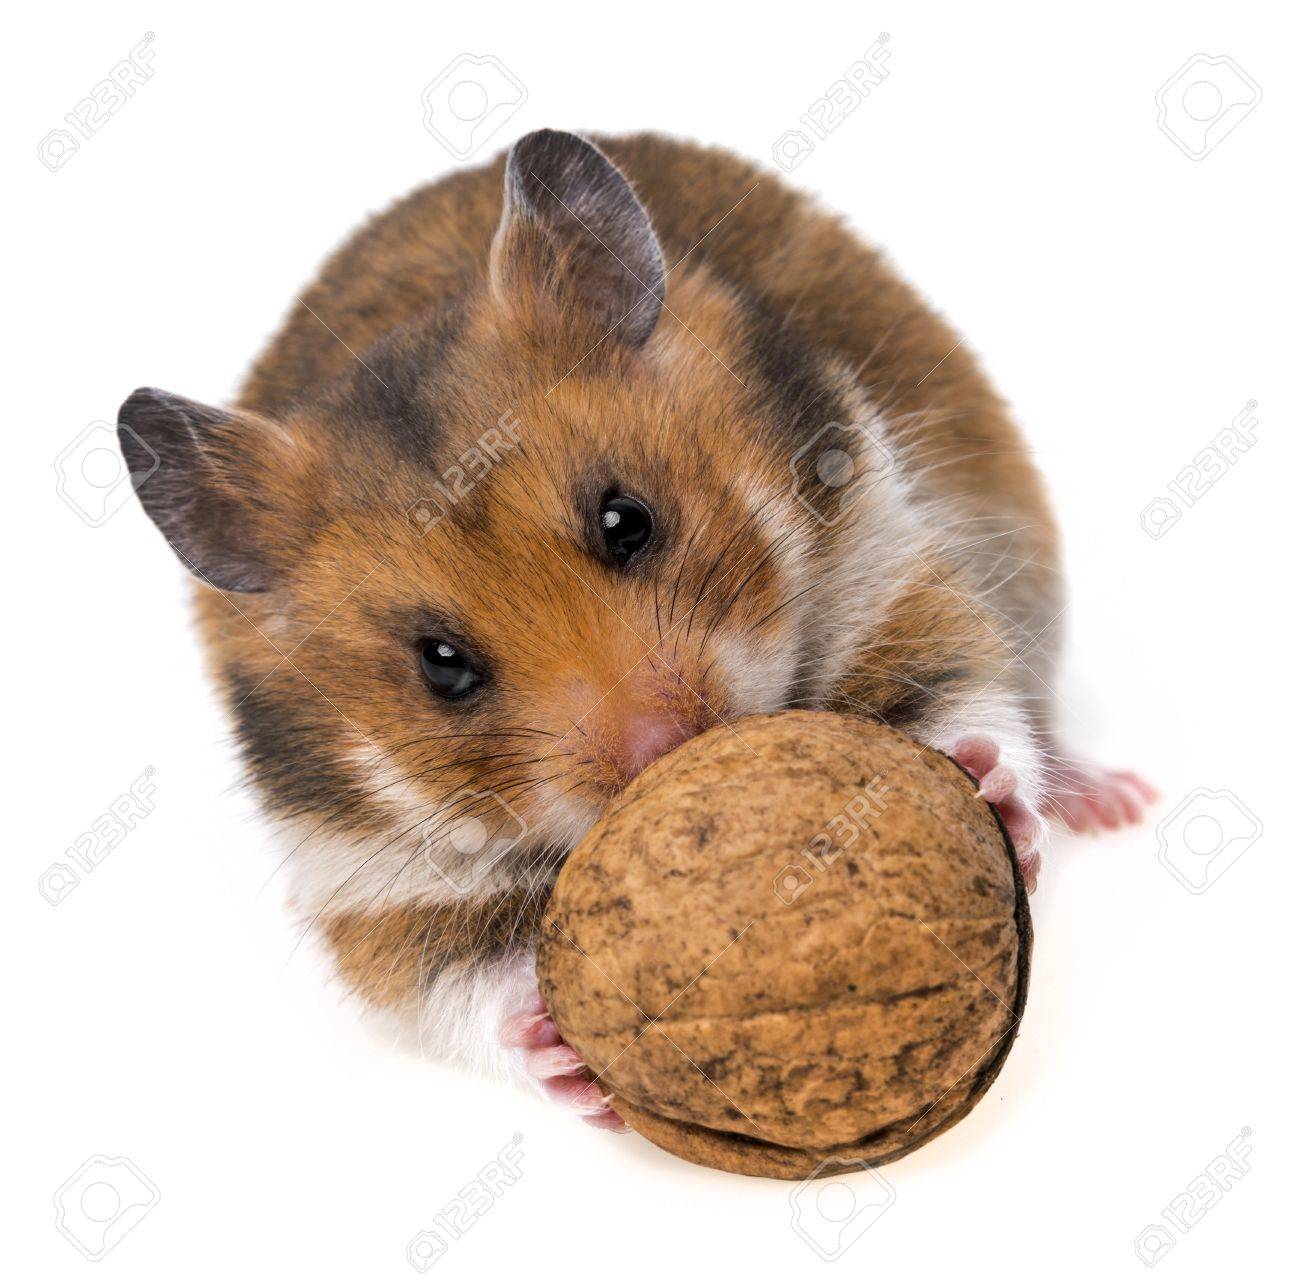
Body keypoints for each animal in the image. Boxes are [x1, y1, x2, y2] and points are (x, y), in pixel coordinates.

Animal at [117, 129, 1154, 1127]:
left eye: (627, 520)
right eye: (441, 665)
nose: (667, 750)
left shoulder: (889, 575)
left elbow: (967, 701)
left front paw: (991, 793)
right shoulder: (372, 876)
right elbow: (452, 984)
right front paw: (557, 1050)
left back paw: (1116, 802)